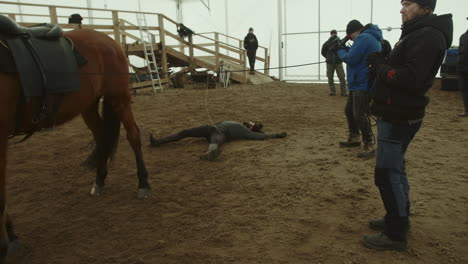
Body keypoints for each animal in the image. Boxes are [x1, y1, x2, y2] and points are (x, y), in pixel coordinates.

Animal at [0, 28, 151, 260]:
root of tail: (109, 40)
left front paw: (10, 239)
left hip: (119, 97)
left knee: (133, 135)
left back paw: (143, 184)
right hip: (89, 105)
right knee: (102, 138)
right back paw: (99, 181)